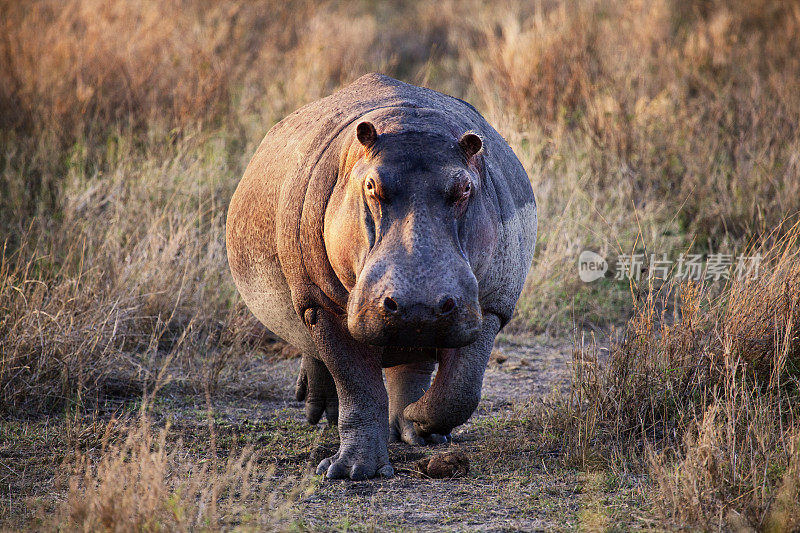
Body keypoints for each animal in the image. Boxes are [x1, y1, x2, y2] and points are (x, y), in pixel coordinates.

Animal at [225, 74, 536, 478]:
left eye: (465, 188)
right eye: (371, 185)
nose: (419, 304)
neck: (412, 125)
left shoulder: (490, 306)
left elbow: (460, 390)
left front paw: (418, 421)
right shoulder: (321, 305)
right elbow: (358, 386)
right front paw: (351, 472)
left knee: (415, 364)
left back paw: (412, 433)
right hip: (309, 298)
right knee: (317, 349)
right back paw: (320, 412)